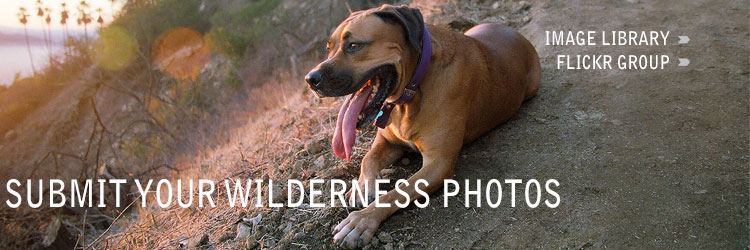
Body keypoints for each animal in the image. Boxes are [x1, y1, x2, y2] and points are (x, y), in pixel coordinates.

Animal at [306, 3, 540, 248]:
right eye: (329, 48)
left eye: (354, 45)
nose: (310, 79)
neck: (414, 90)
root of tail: (513, 32)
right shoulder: (388, 141)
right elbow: (367, 159)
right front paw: (362, 187)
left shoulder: (438, 164)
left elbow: (398, 191)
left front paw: (361, 221)